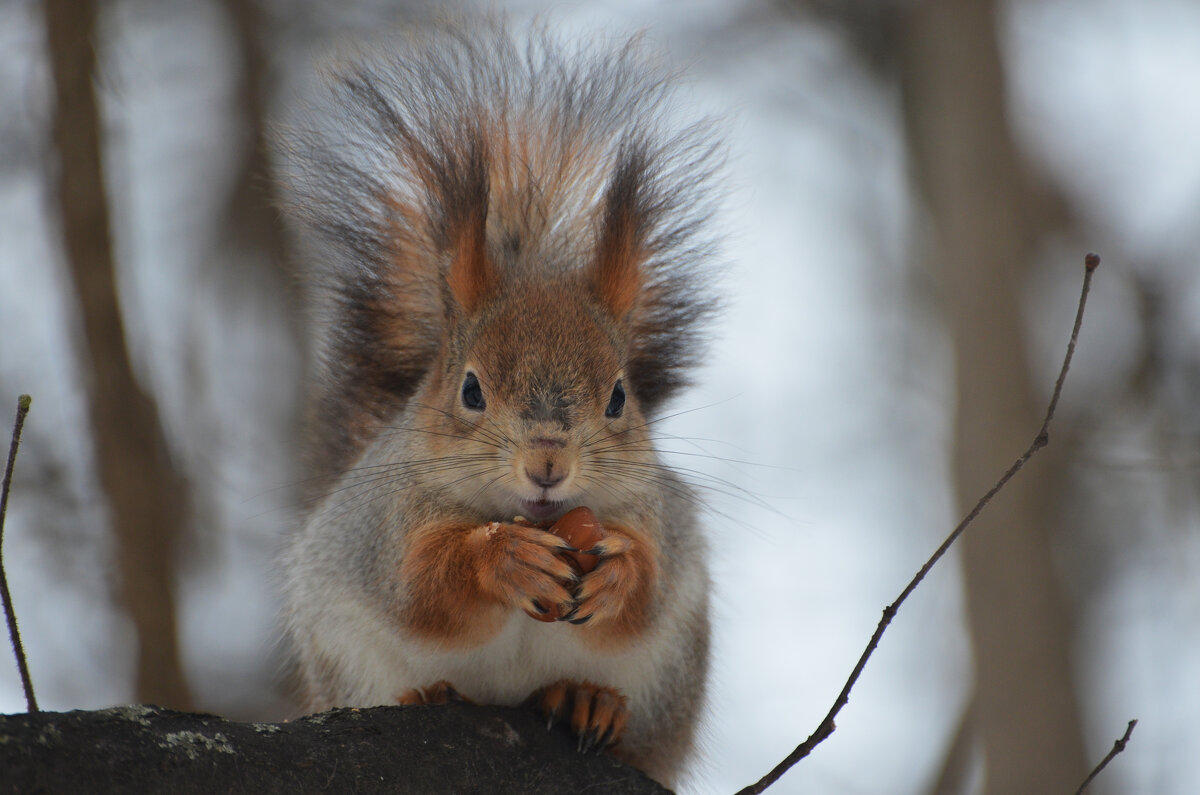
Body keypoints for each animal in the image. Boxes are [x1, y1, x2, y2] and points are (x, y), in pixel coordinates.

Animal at [274, 20, 720, 792]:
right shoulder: (386, 524)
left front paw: (620, 571)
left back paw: (587, 699)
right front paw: (502, 558)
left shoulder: (657, 517)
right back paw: (428, 694)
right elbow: (422, 589)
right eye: (471, 389)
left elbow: (647, 592)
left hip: (672, 674)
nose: (548, 462)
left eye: (619, 396)